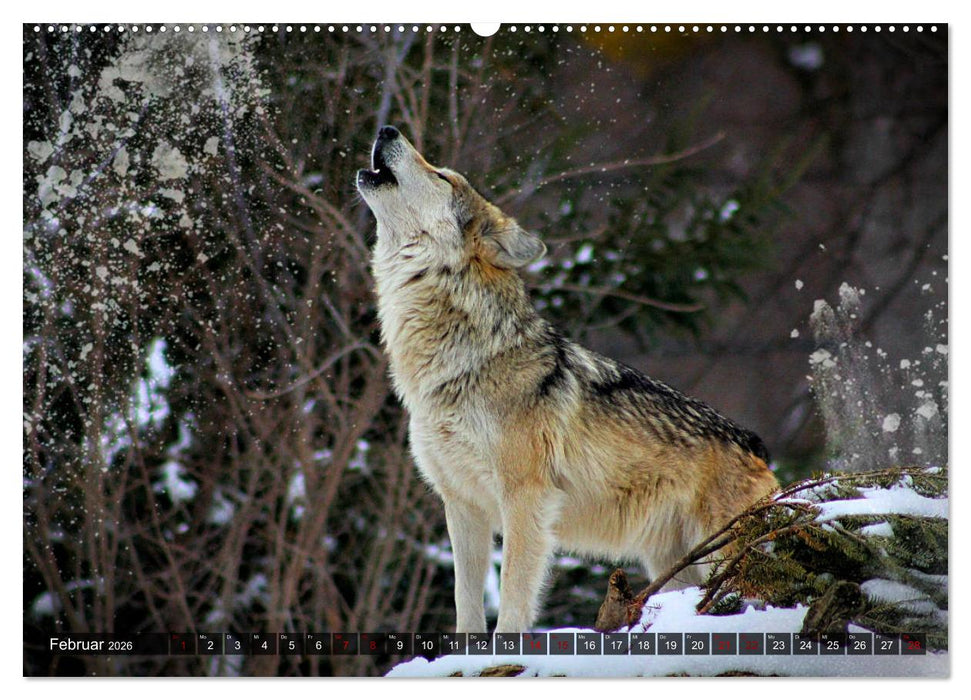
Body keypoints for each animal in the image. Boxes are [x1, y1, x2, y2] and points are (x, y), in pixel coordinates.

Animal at [356, 126, 778, 633]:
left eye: (442, 175)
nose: (387, 129)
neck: (459, 362)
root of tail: (755, 445)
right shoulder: (462, 505)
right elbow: (466, 604)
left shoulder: (526, 500)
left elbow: (513, 600)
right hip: (673, 567)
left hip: (720, 557)